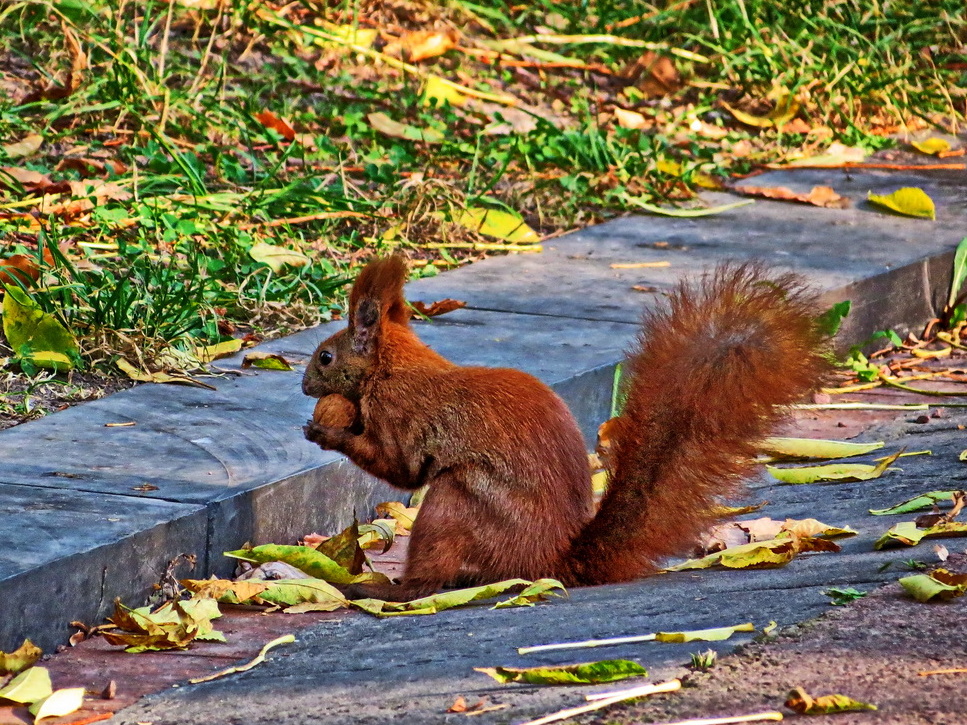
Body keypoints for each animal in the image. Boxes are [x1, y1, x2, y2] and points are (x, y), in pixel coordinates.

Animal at [304, 256, 832, 600]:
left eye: (325, 356)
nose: (305, 384)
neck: (394, 366)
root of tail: (551, 562)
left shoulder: (400, 413)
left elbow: (402, 468)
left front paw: (325, 433)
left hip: (456, 507)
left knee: (431, 570)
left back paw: (387, 590)